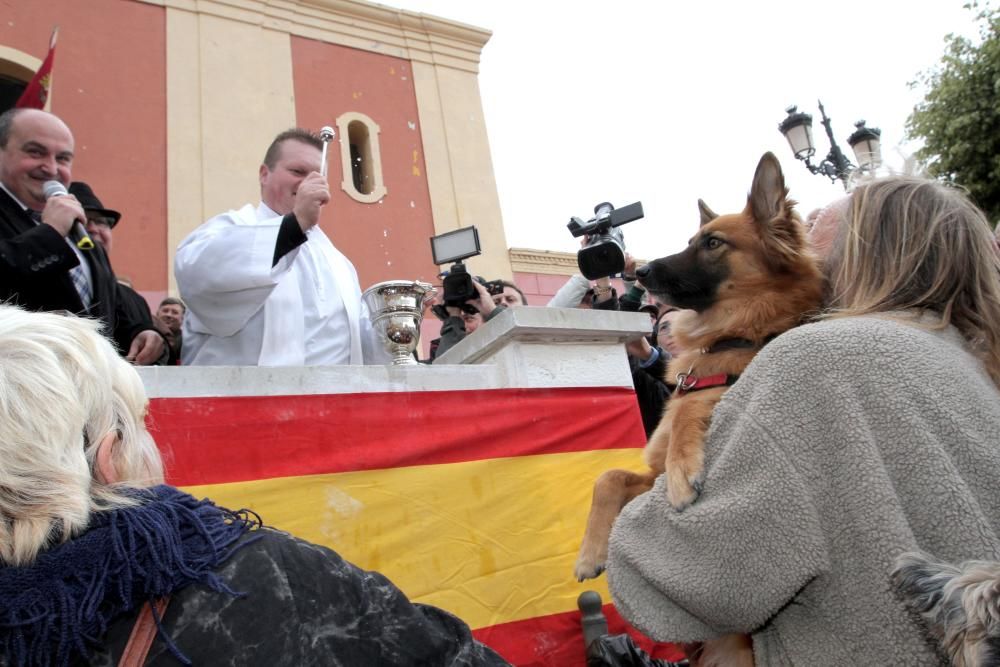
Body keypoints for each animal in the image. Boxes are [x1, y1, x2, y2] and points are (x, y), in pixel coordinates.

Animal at [576, 153, 824, 667]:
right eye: (693, 240)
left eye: (712, 243)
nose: (640, 271)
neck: (733, 335)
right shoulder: (643, 476)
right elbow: (607, 476)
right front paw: (590, 553)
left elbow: (693, 410)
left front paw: (683, 472)